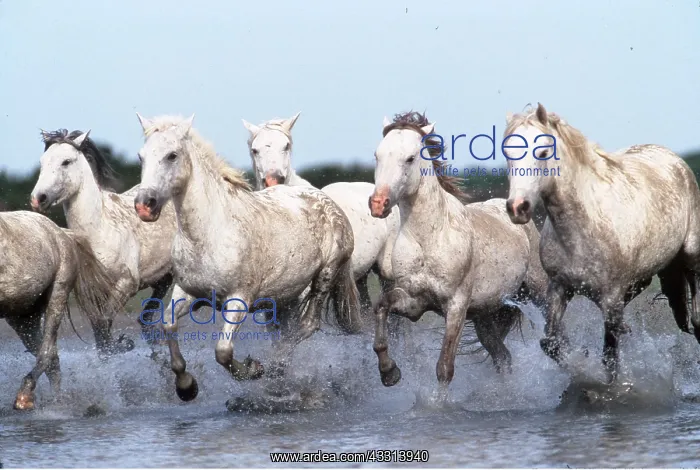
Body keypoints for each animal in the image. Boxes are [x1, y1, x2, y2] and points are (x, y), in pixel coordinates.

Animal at [0, 210, 125, 410]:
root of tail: (62, 232)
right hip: (23, 318)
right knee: (52, 359)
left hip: (57, 294)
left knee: (47, 352)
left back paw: (26, 397)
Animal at [31, 129, 177, 357]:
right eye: (42, 161)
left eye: (66, 161)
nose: (38, 198)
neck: (99, 232)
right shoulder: (94, 292)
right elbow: (100, 333)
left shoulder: (127, 283)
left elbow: (104, 323)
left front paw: (124, 344)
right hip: (163, 278)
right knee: (145, 319)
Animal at [132, 113, 361, 402]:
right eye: (141, 156)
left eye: (172, 155)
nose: (144, 205)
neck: (211, 231)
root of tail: (329, 203)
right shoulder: (187, 292)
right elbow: (168, 326)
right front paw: (186, 387)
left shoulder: (239, 299)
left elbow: (223, 351)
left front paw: (253, 370)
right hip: (284, 297)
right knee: (285, 332)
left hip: (324, 277)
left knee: (306, 326)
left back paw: (273, 368)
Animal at [367, 111, 547, 392]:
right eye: (377, 155)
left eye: (410, 158)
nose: (378, 204)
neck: (429, 238)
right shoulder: (414, 302)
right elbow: (381, 307)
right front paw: (389, 373)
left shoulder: (456, 306)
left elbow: (445, 368)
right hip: (485, 316)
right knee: (502, 356)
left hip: (537, 294)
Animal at [503, 103, 700, 384]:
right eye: (507, 152)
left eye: (542, 151)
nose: (517, 208)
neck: (582, 229)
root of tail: (673, 158)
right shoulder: (559, 288)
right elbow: (550, 343)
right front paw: (578, 365)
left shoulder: (611, 299)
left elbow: (610, 359)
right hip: (640, 280)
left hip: (690, 257)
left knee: (696, 313)